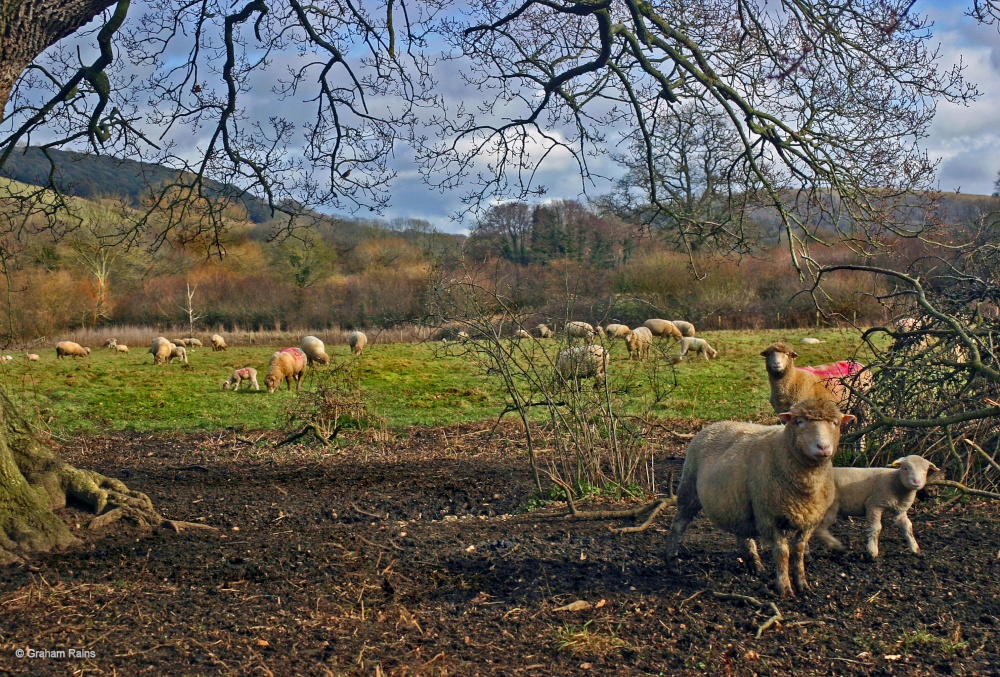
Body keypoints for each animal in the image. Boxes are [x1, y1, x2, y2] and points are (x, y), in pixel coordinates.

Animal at [668, 396, 856, 596]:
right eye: (799, 421)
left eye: (835, 423)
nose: (823, 447)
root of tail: (715, 424)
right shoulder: (768, 516)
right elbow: (782, 552)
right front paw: (784, 588)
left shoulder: (810, 520)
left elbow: (798, 551)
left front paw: (802, 584)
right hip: (689, 488)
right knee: (679, 523)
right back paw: (670, 558)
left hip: (738, 502)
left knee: (743, 533)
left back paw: (755, 565)